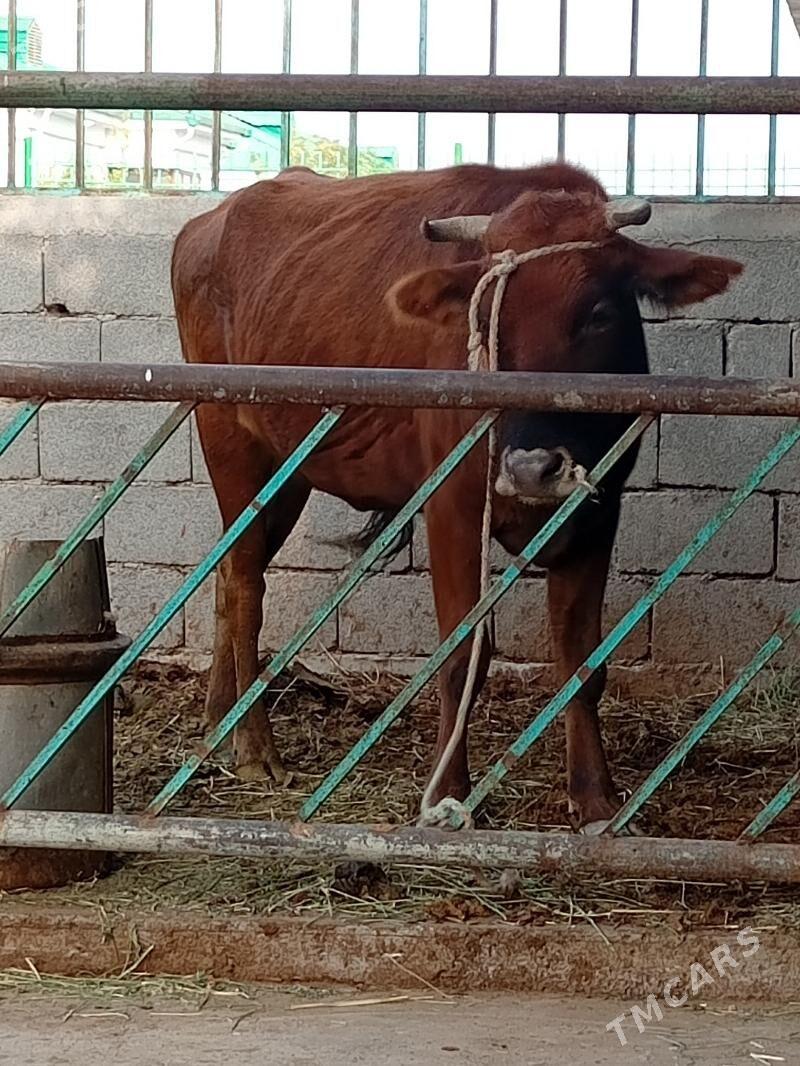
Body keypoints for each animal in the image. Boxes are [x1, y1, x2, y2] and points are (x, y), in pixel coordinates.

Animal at [172, 161, 741, 831]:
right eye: (487, 317)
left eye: (600, 313)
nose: (532, 468)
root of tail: (211, 219)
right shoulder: (450, 507)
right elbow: (462, 652)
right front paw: (448, 792)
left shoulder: (600, 510)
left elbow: (582, 658)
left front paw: (595, 796)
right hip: (230, 440)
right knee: (244, 584)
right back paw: (255, 747)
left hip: (289, 471)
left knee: (229, 569)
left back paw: (219, 723)